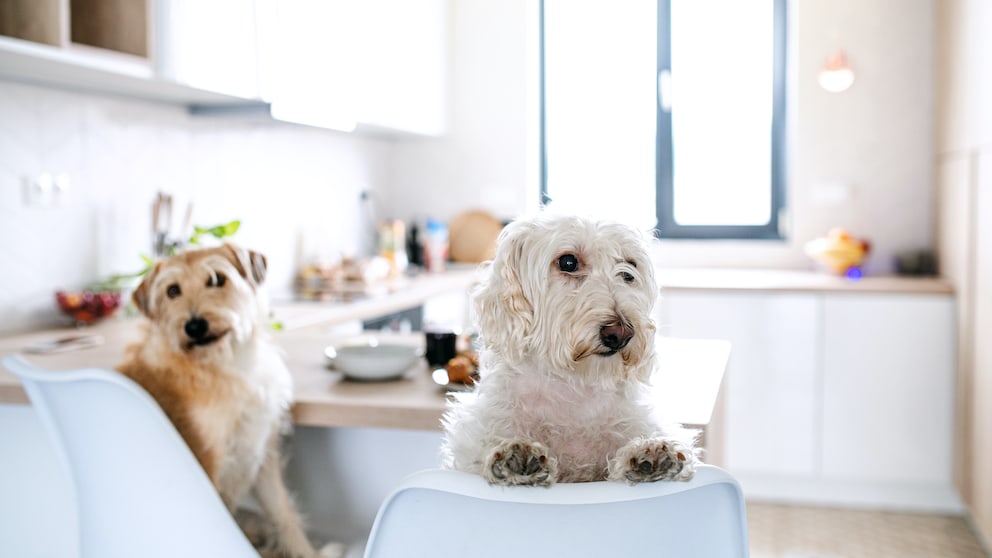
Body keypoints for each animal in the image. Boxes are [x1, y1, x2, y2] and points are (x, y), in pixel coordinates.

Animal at [442, 214, 696, 486]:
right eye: (568, 262)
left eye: (630, 267)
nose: (620, 334)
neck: (573, 386)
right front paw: (514, 455)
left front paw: (647, 453)